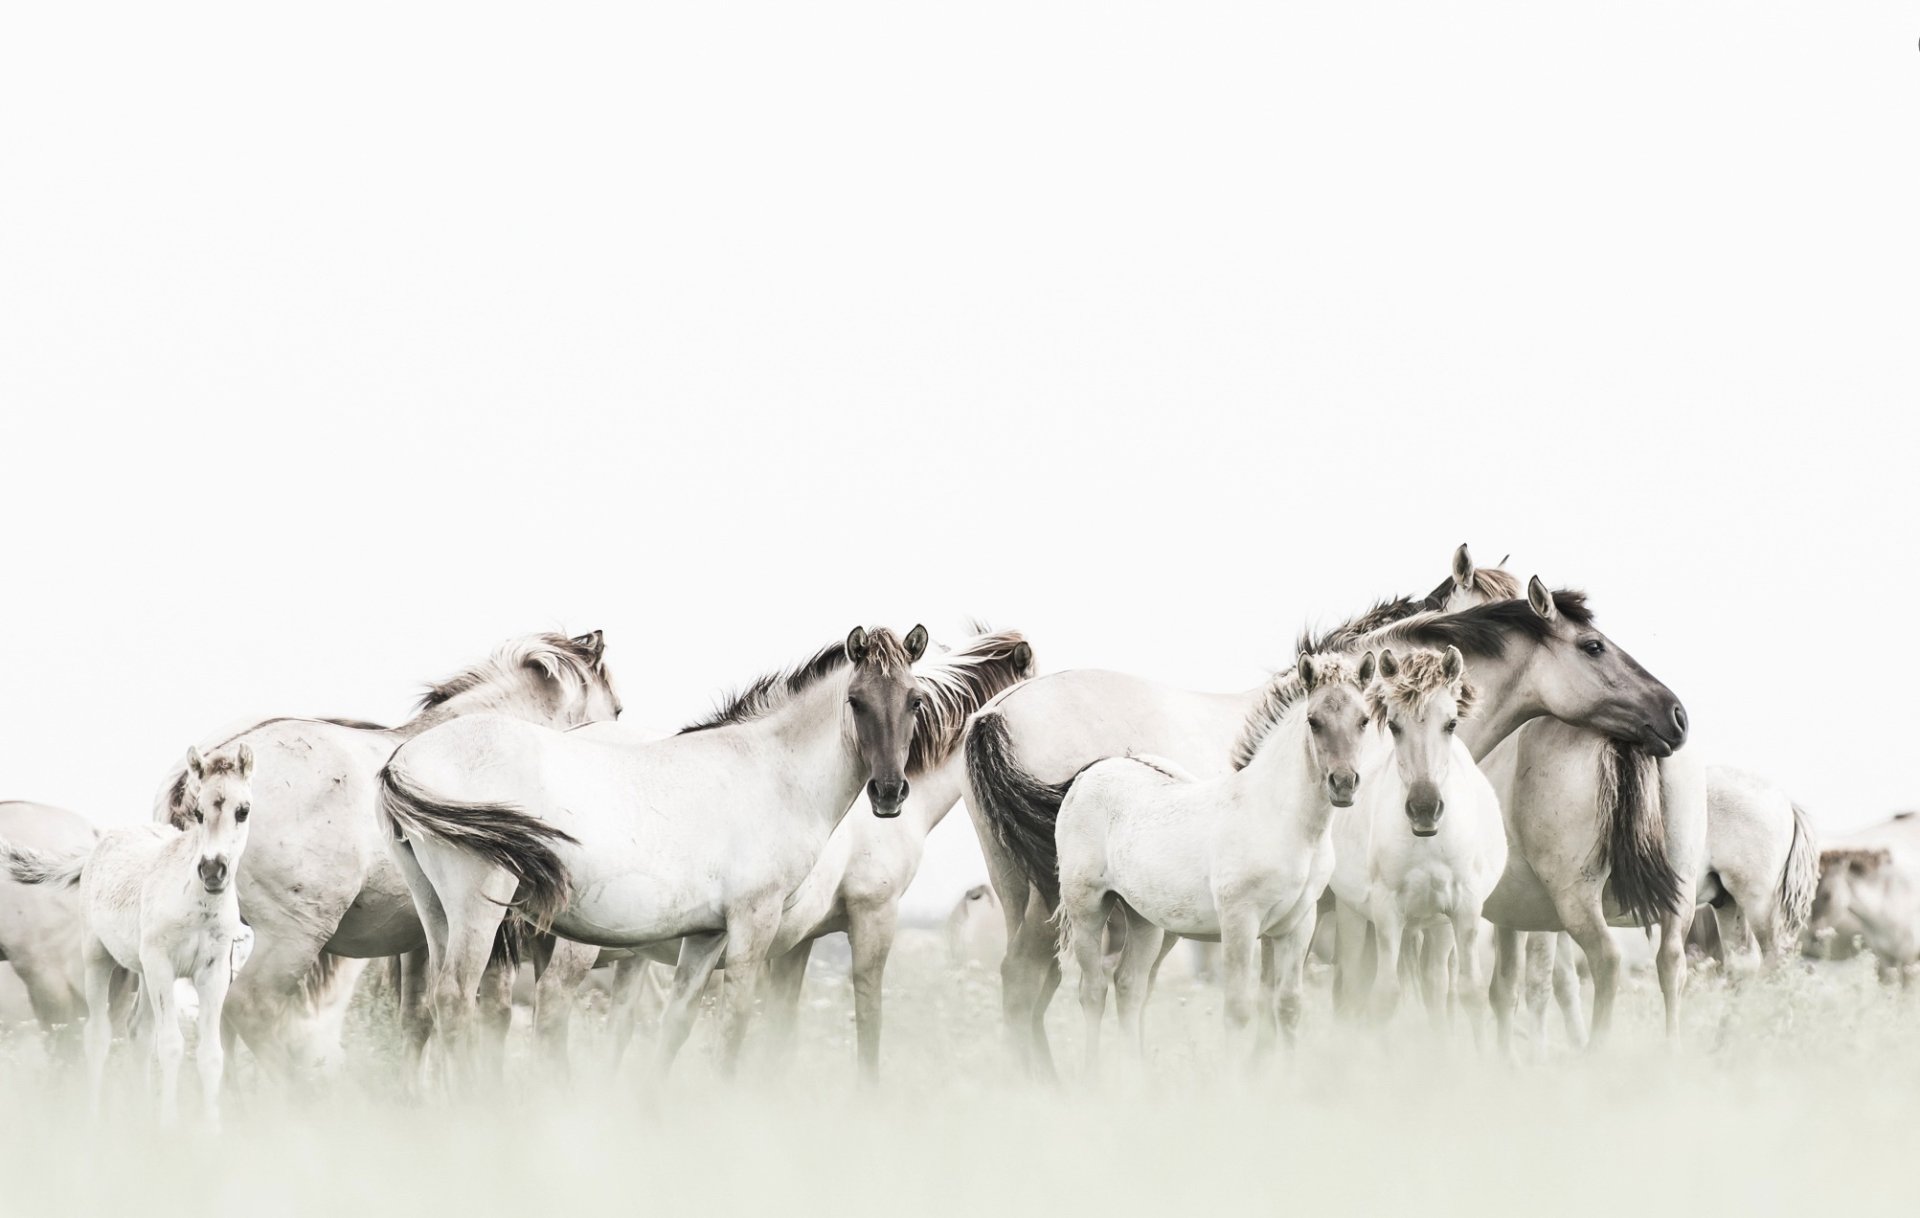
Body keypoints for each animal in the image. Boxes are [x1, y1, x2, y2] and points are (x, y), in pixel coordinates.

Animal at [3, 745, 256, 1124]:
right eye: (197, 812)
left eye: (243, 810)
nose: (213, 871)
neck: (197, 904)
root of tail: (98, 841)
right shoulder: (162, 964)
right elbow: (171, 1045)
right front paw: (169, 1126)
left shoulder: (212, 972)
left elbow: (211, 1054)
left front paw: (210, 1130)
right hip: (98, 960)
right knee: (97, 1036)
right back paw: (93, 1119)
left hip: (140, 971)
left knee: (137, 1032)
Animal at [149, 631, 620, 1080]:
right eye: (617, 710)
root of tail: (202, 774)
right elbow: (491, 1015)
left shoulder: (420, 942)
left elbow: (420, 1019)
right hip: (294, 936)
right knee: (250, 1007)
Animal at [379, 624, 1028, 1083]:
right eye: (857, 702)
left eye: (914, 701)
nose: (890, 793)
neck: (775, 771)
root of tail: (403, 759)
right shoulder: (760, 925)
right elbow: (743, 1026)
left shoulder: (709, 935)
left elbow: (677, 1026)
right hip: (486, 916)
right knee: (463, 1004)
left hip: (438, 915)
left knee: (437, 1010)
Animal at [1055, 652, 1374, 1071]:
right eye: (1313, 720)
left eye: (1364, 719)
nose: (1344, 784)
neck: (1281, 819)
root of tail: (1086, 778)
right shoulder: (1240, 921)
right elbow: (1237, 1010)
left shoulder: (1297, 924)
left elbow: (1288, 1006)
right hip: (1088, 909)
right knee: (1092, 990)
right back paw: (1092, 1075)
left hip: (1144, 920)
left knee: (1129, 987)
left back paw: (1137, 1076)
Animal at [1330, 647, 1504, 1035]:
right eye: (1395, 726)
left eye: (1451, 723)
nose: (1424, 809)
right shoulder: (1386, 912)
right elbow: (1384, 997)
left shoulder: (1465, 908)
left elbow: (1470, 993)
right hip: (1353, 916)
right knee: (1354, 987)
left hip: (1438, 928)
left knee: (1436, 986)